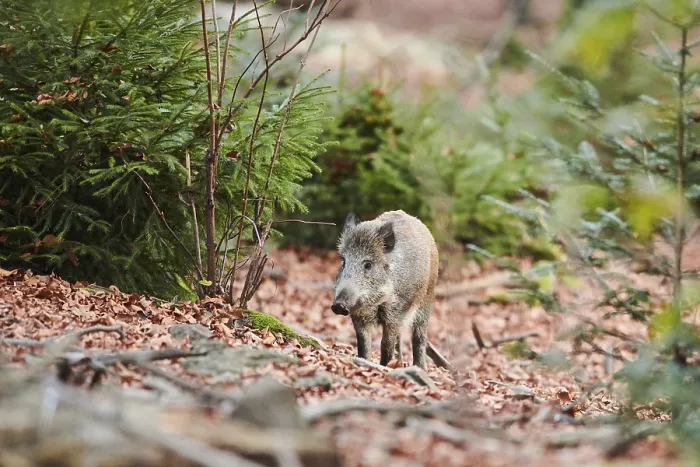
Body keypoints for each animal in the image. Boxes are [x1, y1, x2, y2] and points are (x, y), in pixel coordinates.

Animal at [330, 210, 439, 369]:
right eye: (343, 261)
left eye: (368, 265)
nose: (338, 305)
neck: (375, 303)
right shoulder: (359, 315)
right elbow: (363, 344)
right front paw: (365, 361)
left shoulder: (395, 313)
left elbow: (386, 345)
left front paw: (383, 366)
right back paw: (400, 364)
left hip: (427, 299)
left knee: (419, 336)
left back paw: (419, 367)